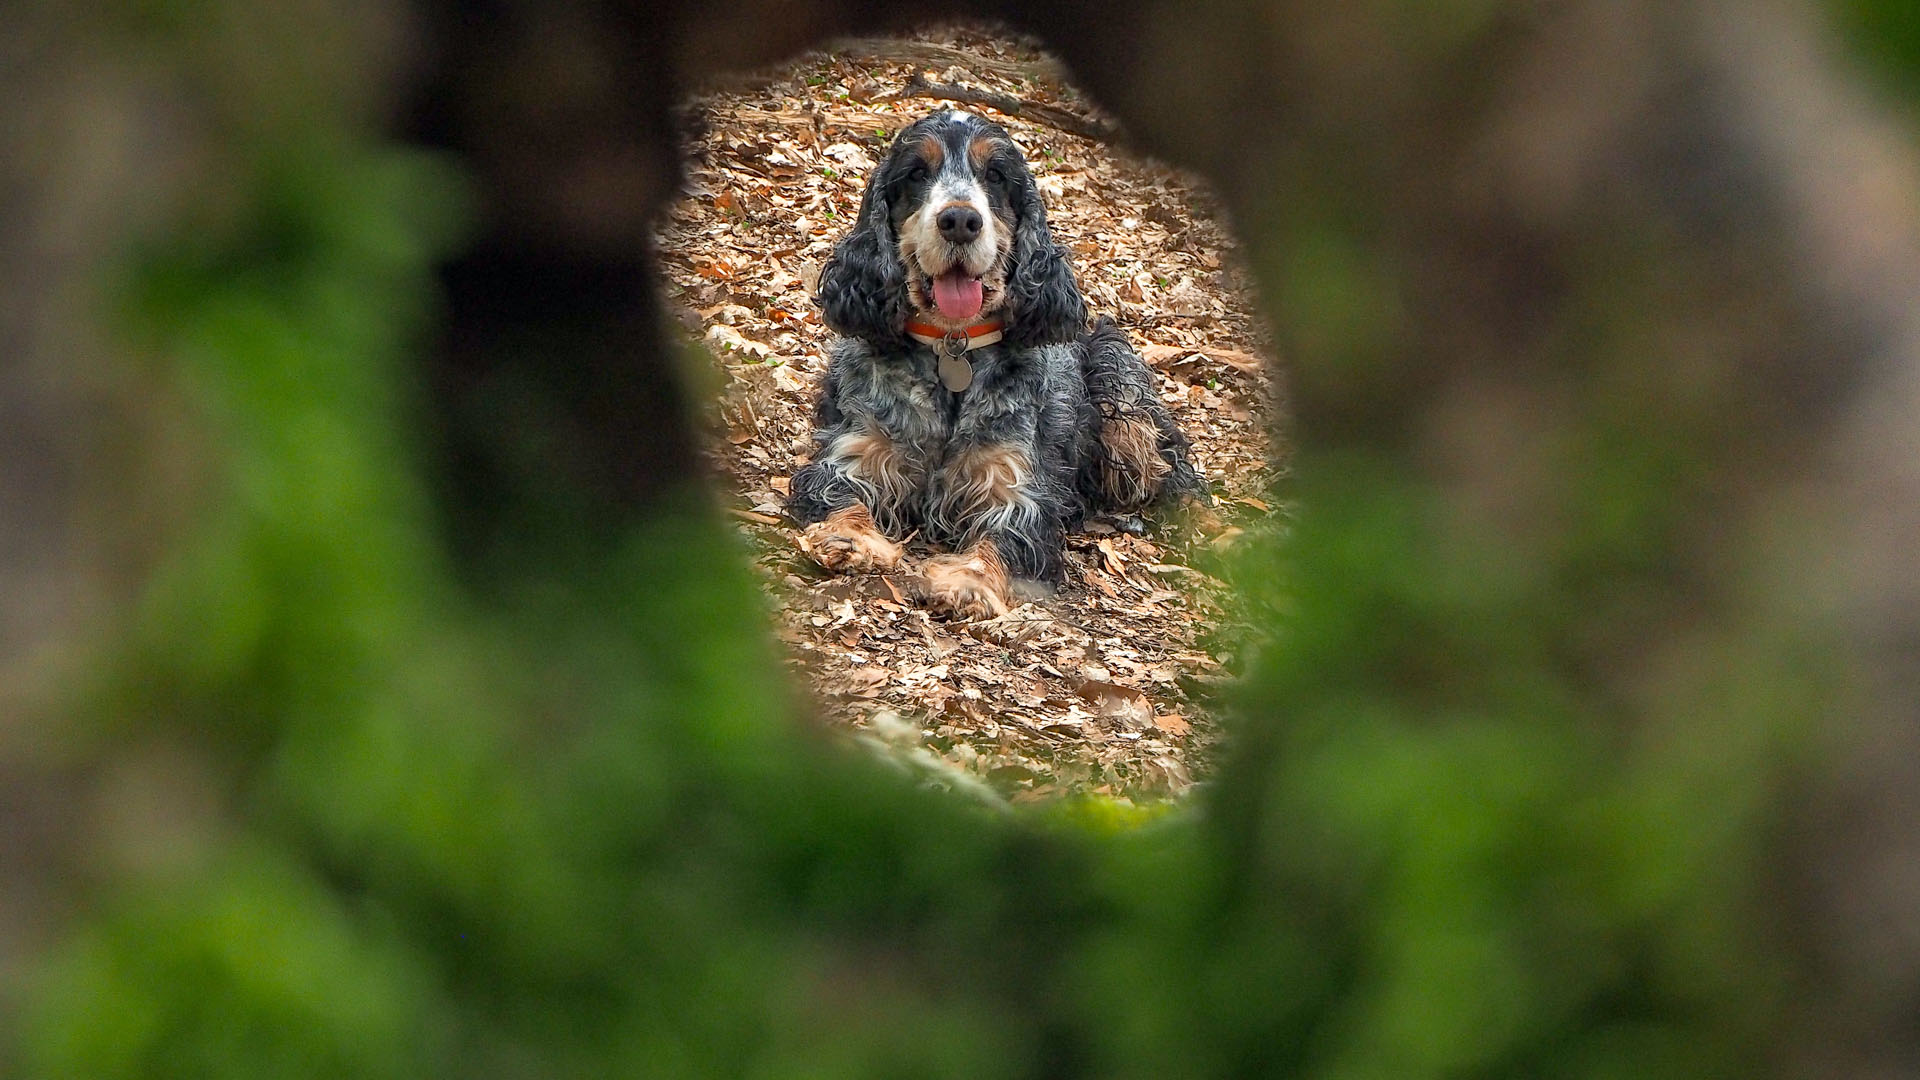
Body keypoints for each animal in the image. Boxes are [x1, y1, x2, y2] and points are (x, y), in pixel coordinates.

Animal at [787, 108, 1190, 618]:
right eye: (916, 173)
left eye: (996, 175)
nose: (960, 220)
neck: (951, 347)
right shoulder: (853, 449)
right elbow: (840, 491)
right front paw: (851, 538)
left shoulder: (1019, 487)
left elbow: (1003, 536)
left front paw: (968, 581)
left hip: (1122, 392)